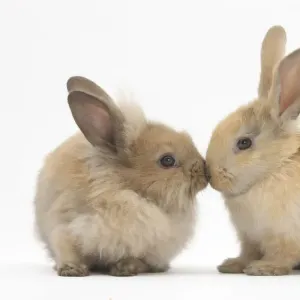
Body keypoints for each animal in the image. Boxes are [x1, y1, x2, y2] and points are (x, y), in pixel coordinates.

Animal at [32, 75, 207, 276]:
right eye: (167, 160)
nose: (205, 171)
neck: (125, 189)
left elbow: (136, 258)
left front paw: (126, 268)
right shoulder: (64, 228)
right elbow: (68, 251)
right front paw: (72, 270)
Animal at [206, 24, 300, 276]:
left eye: (244, 143)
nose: (210, 175)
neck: (275, 168)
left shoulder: (285, 235)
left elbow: (283, 255)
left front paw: (264, 268)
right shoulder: (249, 237)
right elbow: (247, 252)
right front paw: (232, 265)